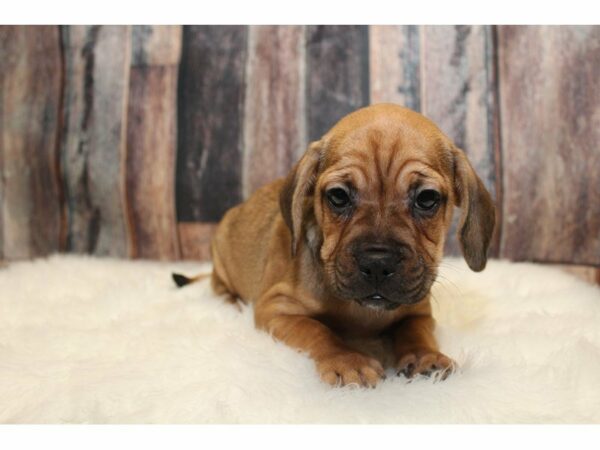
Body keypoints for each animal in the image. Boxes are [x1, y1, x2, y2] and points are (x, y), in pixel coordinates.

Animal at [172, 103, 492, 386]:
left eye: (427, 199)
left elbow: (414, 331)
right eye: (338, 196)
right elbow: (318, 330)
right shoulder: (276, 308)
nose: (378, 263)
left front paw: (425, 356)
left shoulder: (418, 310)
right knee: (219, 286)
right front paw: (347, 360)